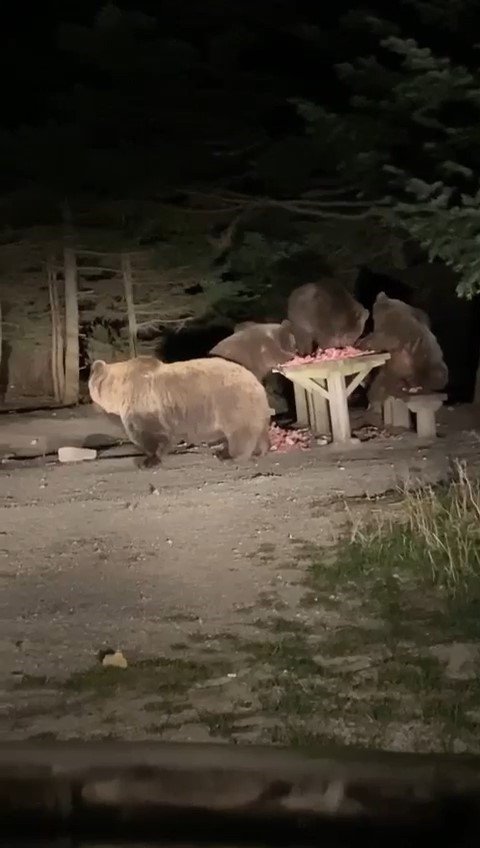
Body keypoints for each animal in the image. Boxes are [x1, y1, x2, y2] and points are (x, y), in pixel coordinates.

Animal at [88, 352, 272, 468]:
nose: (93, 407)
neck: (119, 390)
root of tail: (257, 382)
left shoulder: (142, 401)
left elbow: (151, 433)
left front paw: (149, 460)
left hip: (232, 402)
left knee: (240, 433)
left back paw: (230, 456)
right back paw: (257, 451)